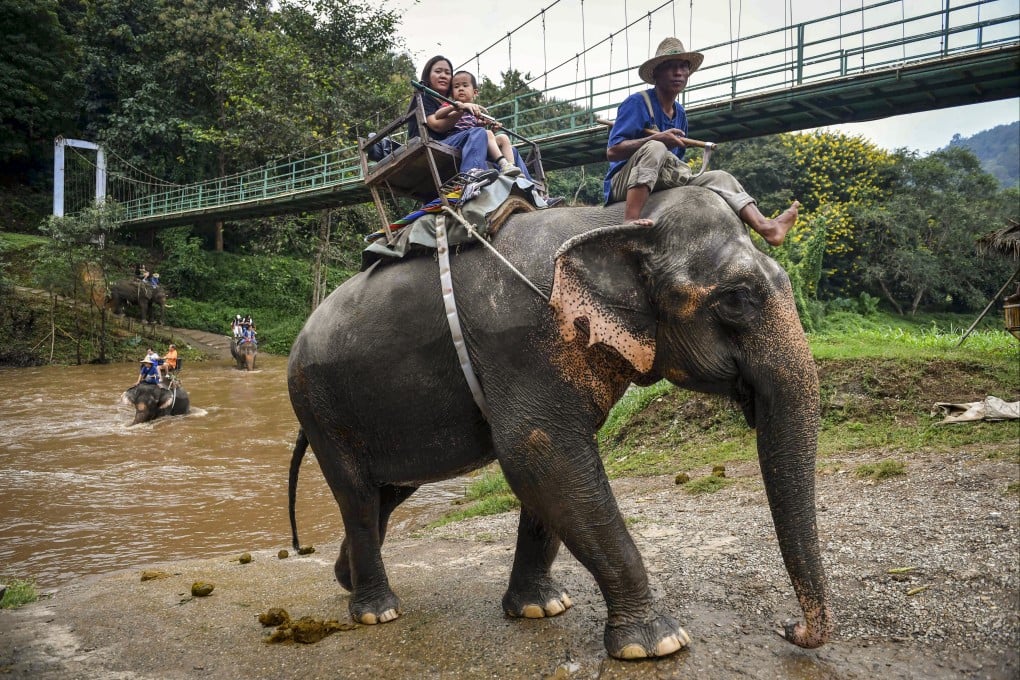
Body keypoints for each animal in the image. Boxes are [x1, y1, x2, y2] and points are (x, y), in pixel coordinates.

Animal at [286, 186, 830, 660]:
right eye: (737, 298)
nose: (790, 628)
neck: (611, 221)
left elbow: (547, 475)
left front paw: (540, 608)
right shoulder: (523, 343)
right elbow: (542, 456)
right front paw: (657, 643)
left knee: (390, 490)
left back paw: (347, 581)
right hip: (316, 403)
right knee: (357, 494)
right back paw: (378, 612)